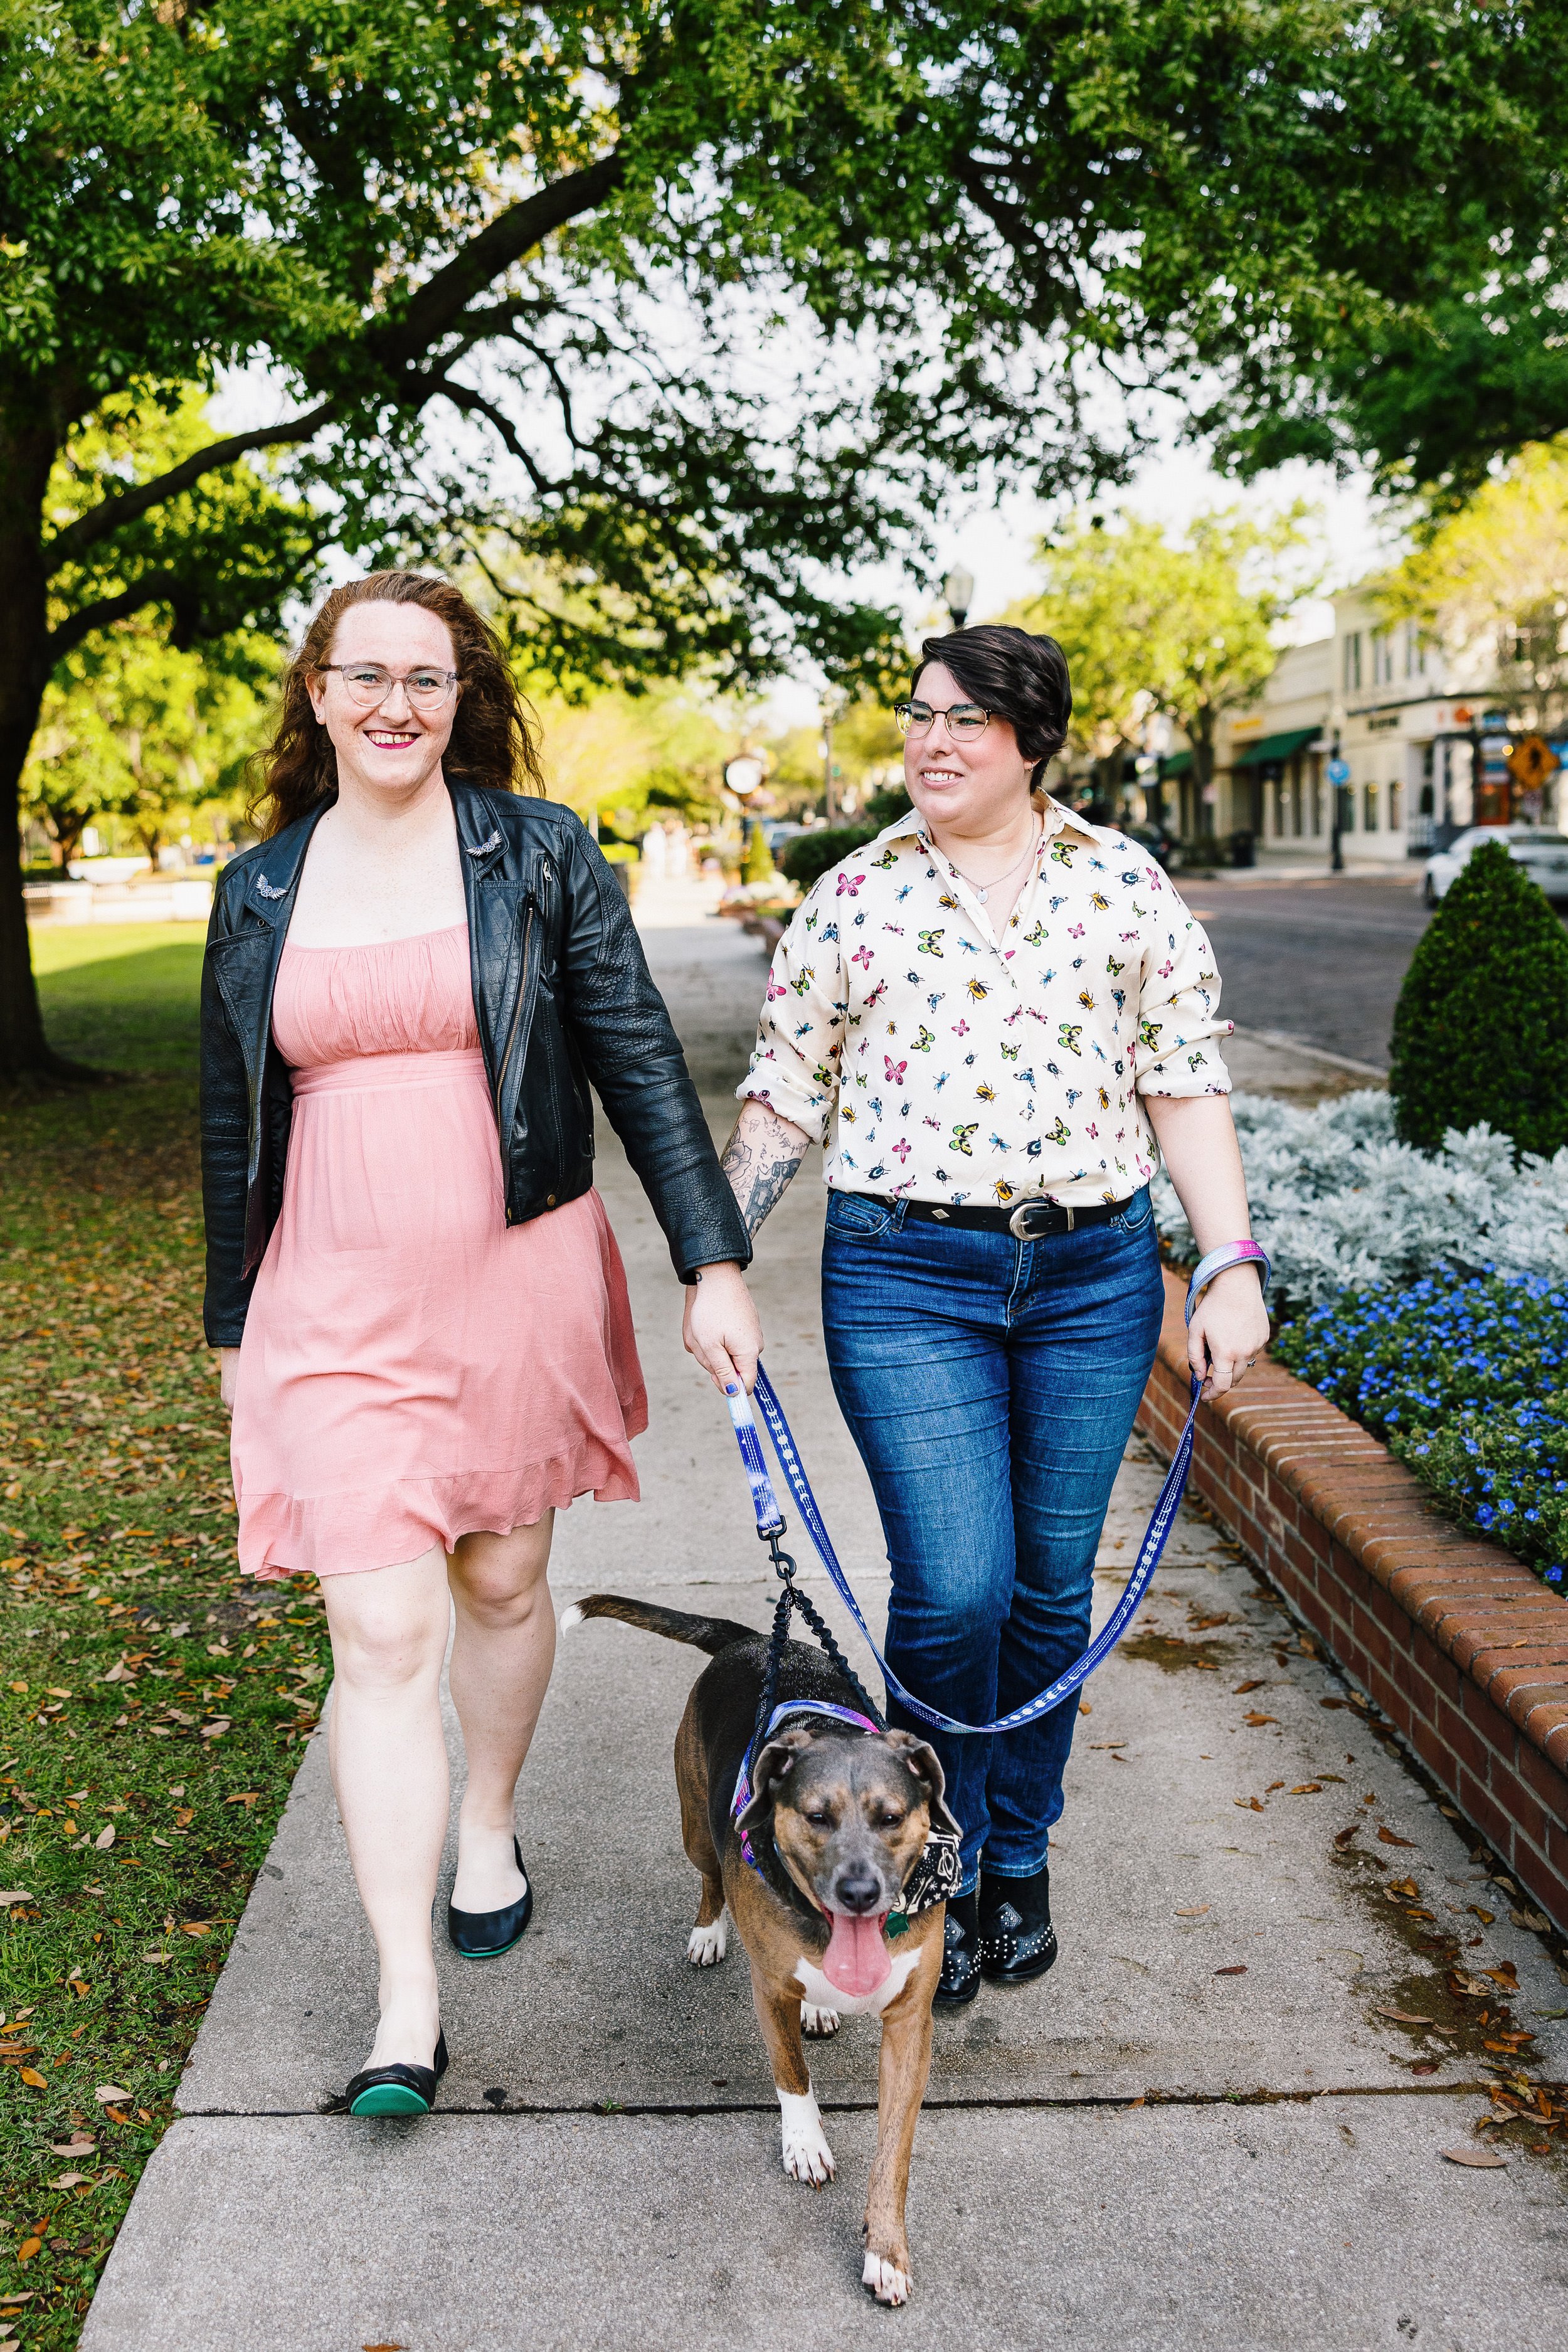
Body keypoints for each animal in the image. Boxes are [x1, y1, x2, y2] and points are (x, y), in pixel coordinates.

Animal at [564, 1590, 959, 2305]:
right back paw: (707, 1931)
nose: (859, 1893)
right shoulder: (770, 1986)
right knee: (710, 1874)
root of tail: (750, 1641)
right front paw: (804, 2143)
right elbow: (792, 2075)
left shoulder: (910, 2022)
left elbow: (893, 2152)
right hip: (696, 1826)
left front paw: (886, 2250)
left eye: (891, 1817)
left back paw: (821, 2005)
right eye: (816, 1816)